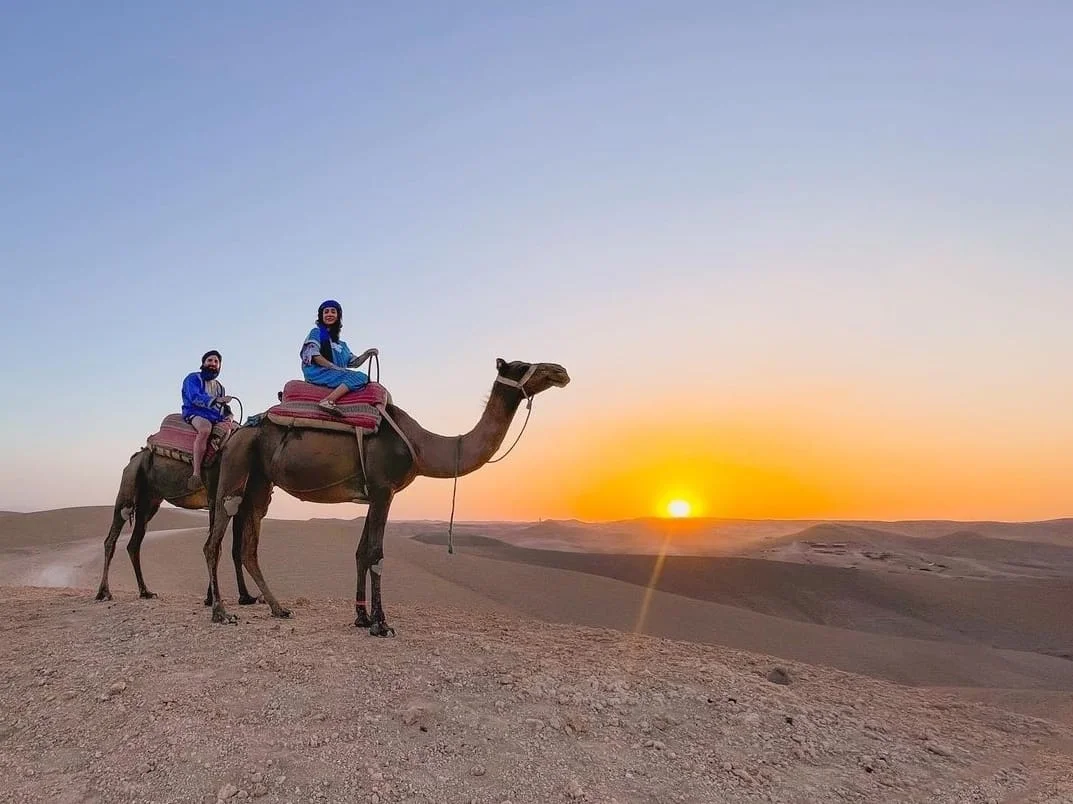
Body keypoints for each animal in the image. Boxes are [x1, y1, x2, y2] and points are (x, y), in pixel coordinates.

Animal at [95, 442, 260, 605]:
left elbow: (234, 550)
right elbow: (216, 546)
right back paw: (104, 592)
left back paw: (145, 592)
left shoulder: (238, 505)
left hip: (149, 501)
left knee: (134, 544)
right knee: (112, 536)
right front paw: (211, 598)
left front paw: (245, 596)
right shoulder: (215, 497)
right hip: (129, 482)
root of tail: (134, 458)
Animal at [201, 358, 570, 635]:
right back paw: (221, 612)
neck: (421, 445)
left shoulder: (372, 493)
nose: (560, 371)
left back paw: (279, 608)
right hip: (237, 463)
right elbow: (376, 554)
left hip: (260, 480)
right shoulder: (384, 489)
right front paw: (382, 624)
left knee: (249, 542)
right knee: (217, 534)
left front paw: (362, 617)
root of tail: (238, 430)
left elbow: (361, 552)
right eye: (522, 365)